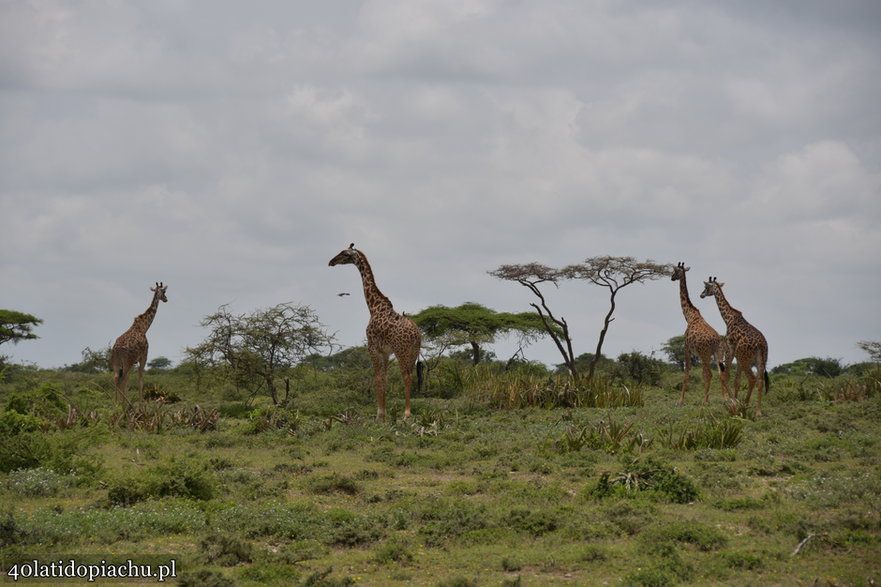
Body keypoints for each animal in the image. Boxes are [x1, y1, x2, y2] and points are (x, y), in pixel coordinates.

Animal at [328, 246, 422, 420]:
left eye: (345, 254)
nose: (331, 261)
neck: (373, 307)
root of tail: (416, 335)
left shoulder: (372, 347)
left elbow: (377, 378)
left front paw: (379, 414)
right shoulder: (385, 352)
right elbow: (384, 379)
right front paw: (384, 413)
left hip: (402, 351)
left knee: (406, 376)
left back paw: (406, 413)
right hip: (413, 352)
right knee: (411, 375)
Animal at [672, 264, 724, 406]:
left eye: (675, 271)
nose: (671, 277)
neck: (689, 316)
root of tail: (716, 341)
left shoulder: (686, 348)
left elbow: (686, 374)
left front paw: (680, 400)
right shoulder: (698, 354)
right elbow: (701, 375)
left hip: (706, 354)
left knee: (710, 374)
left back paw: (705, 401)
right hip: (716, 353)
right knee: (719, 373)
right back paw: (723, 399)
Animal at [696, 278, 768, 416]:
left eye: (706, 287)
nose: (701, 295)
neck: (728, 318)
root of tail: (760, 345)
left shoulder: (730, 349)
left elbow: (726, 376)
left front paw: (734, 402)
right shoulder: (736, 354)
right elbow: (737, 381)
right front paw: (735, 400)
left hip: (745, 359)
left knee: (752, 379)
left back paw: (745, 406)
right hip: (760, 360)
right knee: (760, 382)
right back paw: (758, 412)